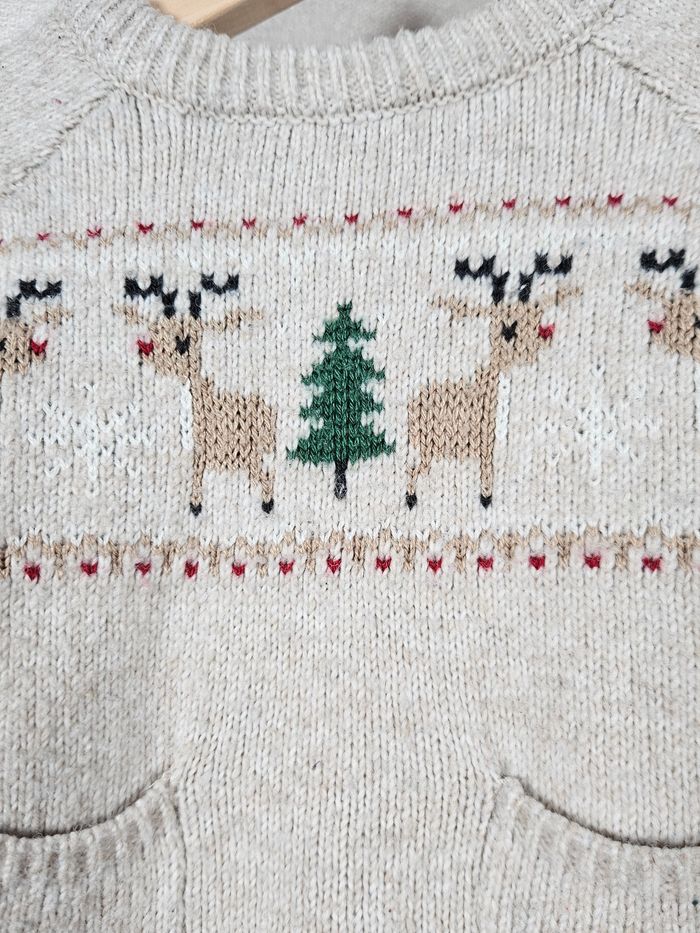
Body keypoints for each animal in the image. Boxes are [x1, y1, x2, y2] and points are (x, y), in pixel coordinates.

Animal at [117, 273, 276, 516]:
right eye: (155, 331)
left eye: (183, 343)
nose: (144, 348)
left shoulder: (206, 451)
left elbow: (198, 475)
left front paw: (195, 505)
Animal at [406, 253, 578, 510]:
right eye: (508, 330)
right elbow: (486, 471)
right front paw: (486, 498)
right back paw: (411, 498)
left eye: (536, 318)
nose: (545, 337)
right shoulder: (485, 444)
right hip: (428, 446)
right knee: (413, 468)